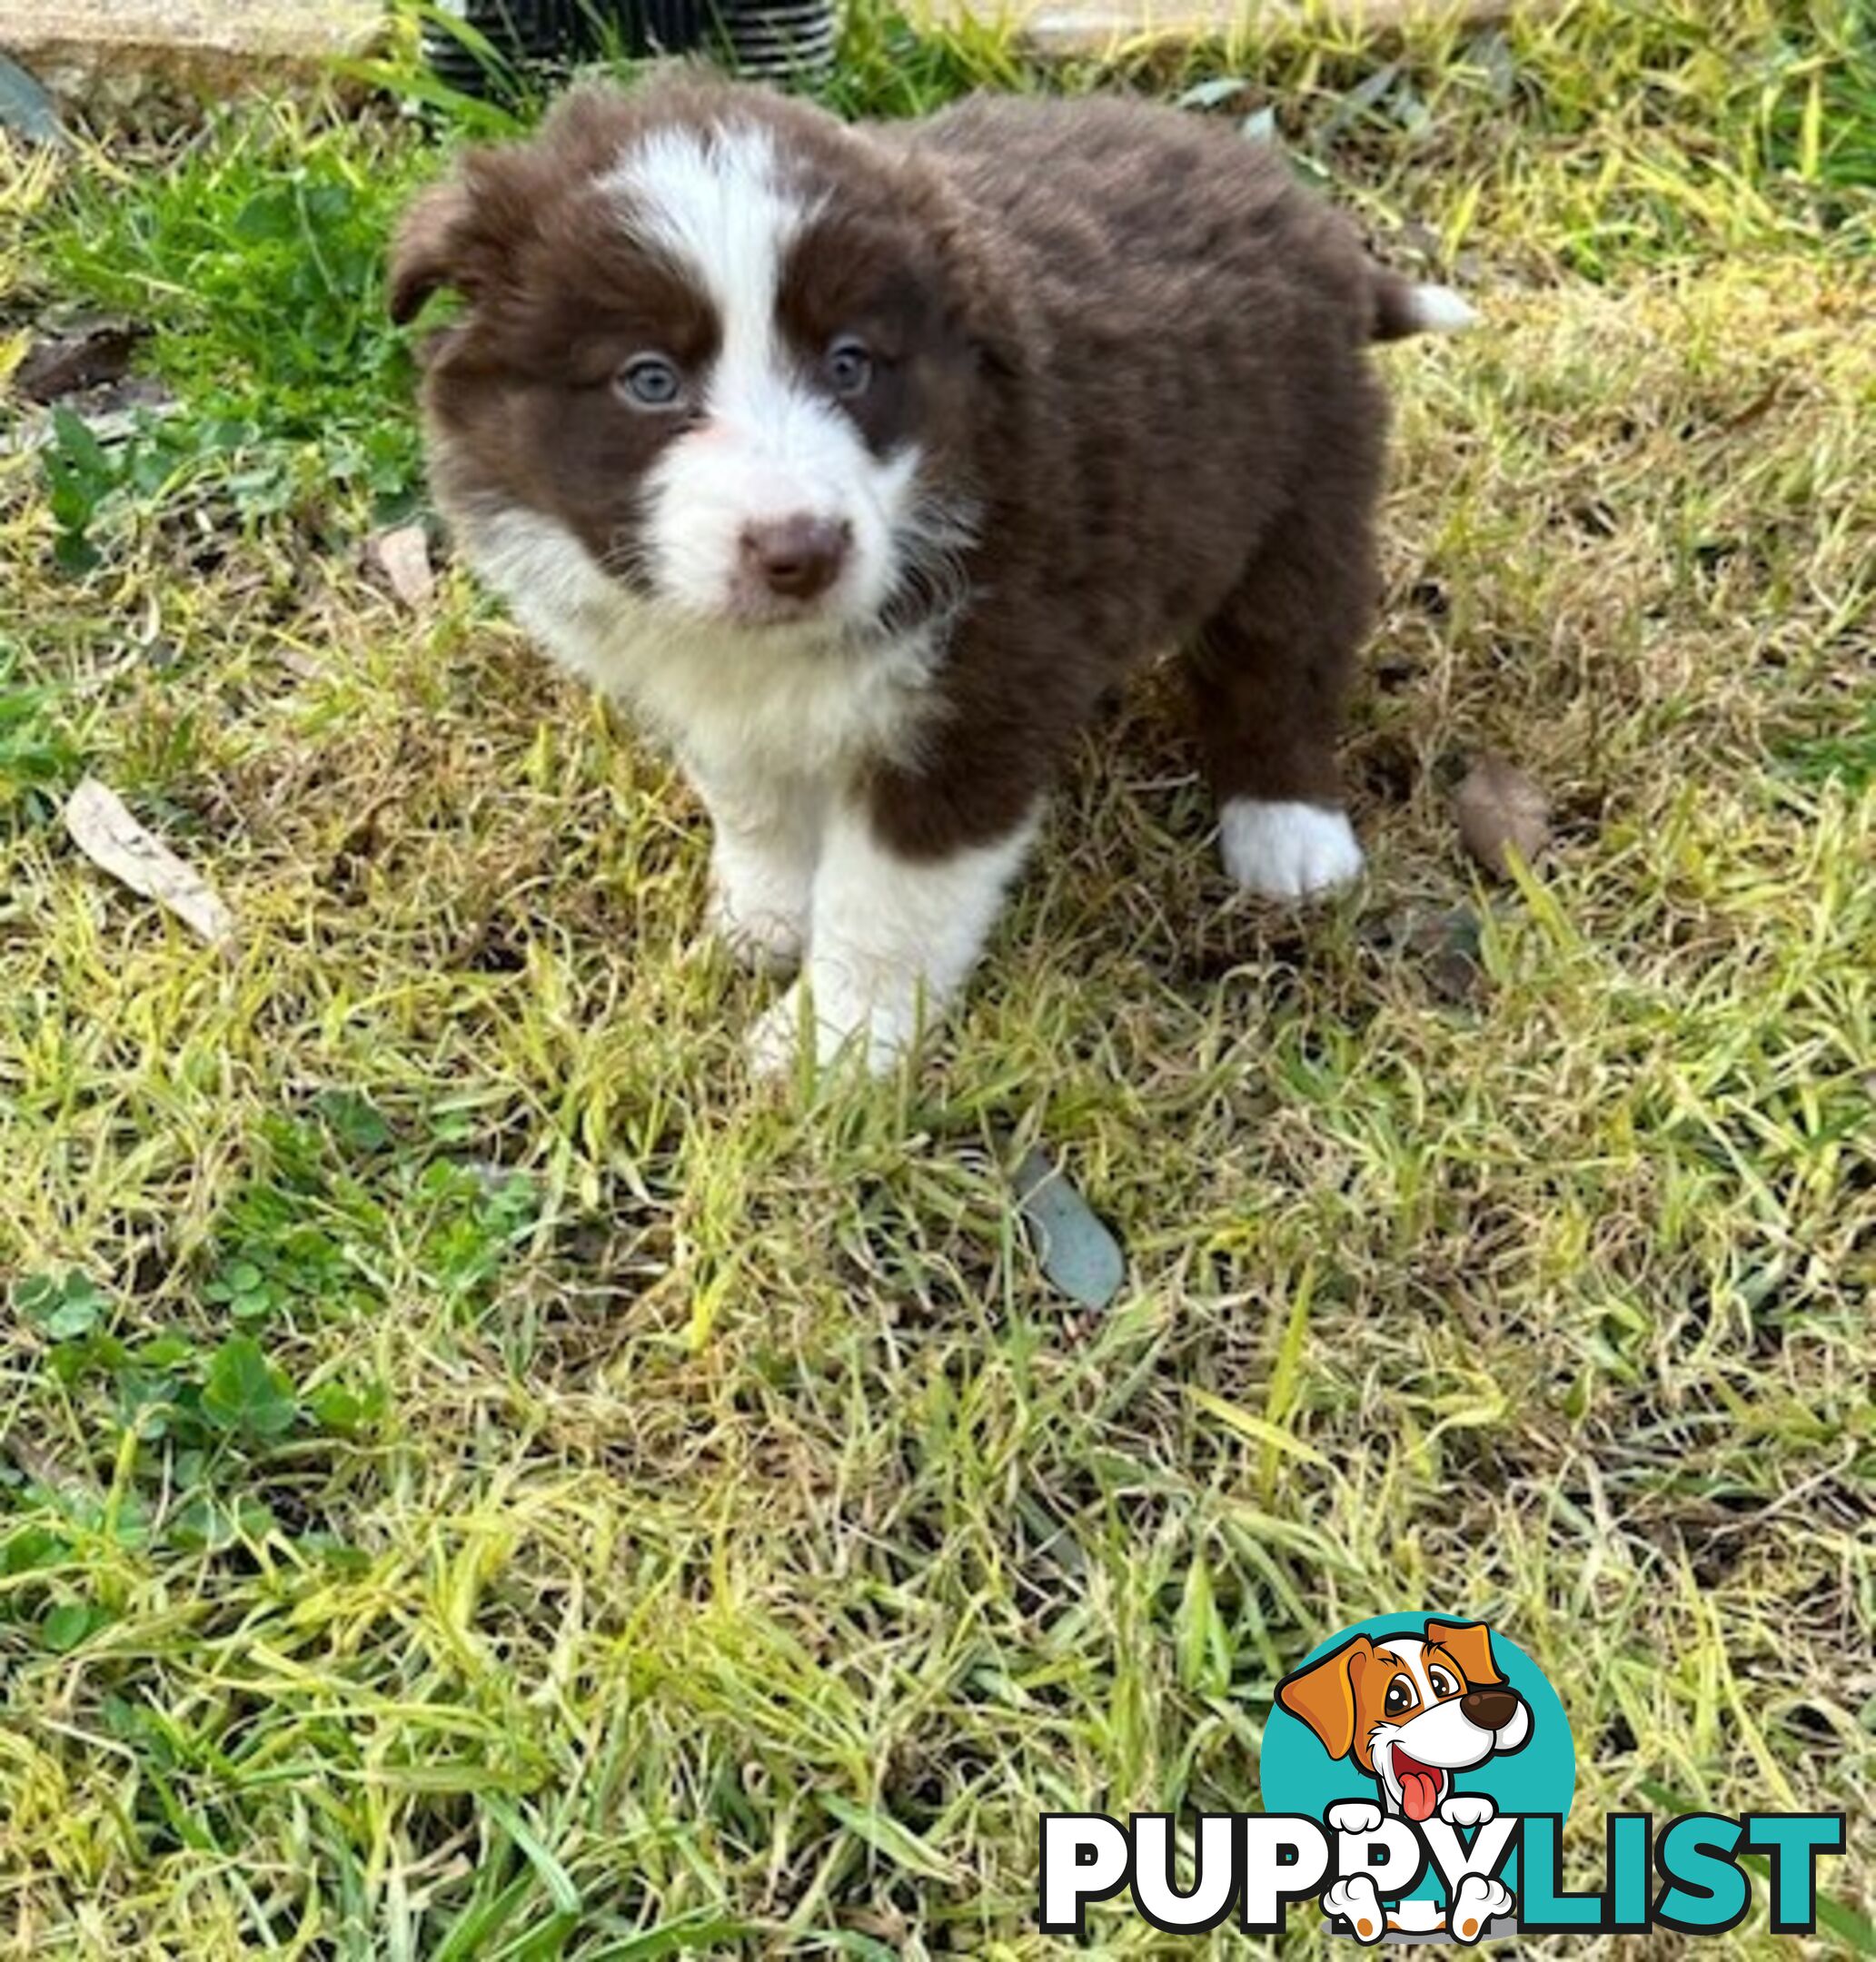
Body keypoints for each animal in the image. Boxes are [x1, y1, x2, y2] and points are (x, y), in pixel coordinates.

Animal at [396, 72, 1475, 1075]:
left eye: (849, 365)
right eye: (648, 380)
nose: (801, 552)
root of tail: (1306, 218)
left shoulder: (975, 699)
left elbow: (887, 900)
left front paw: (831, 1051)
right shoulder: (722, 695)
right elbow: (754, 805)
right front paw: (764, 925)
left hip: (1301, 495)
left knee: (1282, 661)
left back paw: (1288, 839)